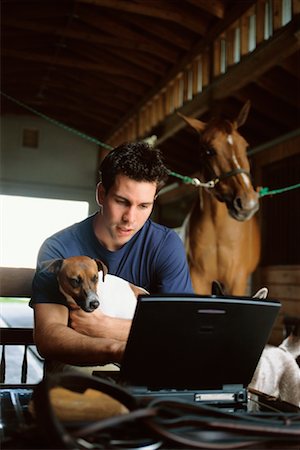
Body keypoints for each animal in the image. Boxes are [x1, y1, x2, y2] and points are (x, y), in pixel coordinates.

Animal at [179, 103, 262, 298]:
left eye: (245, 146)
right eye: (209, 151)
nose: (247, 204)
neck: (219, 232)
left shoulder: (237, 279)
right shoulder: (198, 278)